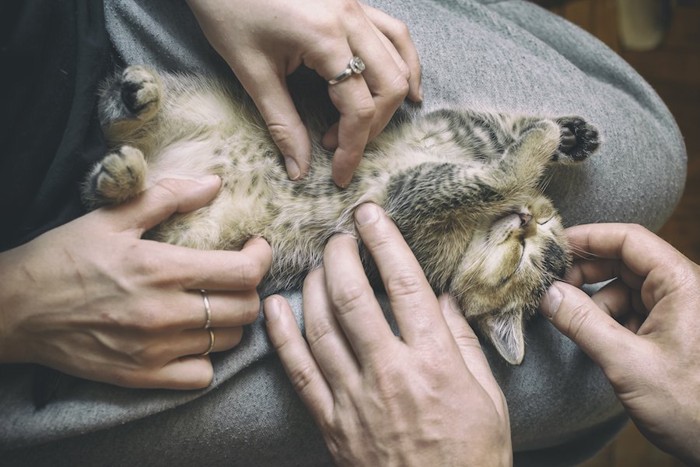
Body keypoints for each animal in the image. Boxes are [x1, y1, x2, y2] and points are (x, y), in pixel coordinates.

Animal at [85, 66, 600, 366]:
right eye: (539, 235)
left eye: (520, 264)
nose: (525, 221)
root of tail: (162, 166)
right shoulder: (470, 132)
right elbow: (506, 140)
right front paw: (564, 135)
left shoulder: (406, 202)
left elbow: (487, 177)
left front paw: (540, 146)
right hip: (195, 106)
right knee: (115, 120)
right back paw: (137, 98)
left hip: (187, 240)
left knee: (104, 191)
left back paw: (121, 177)